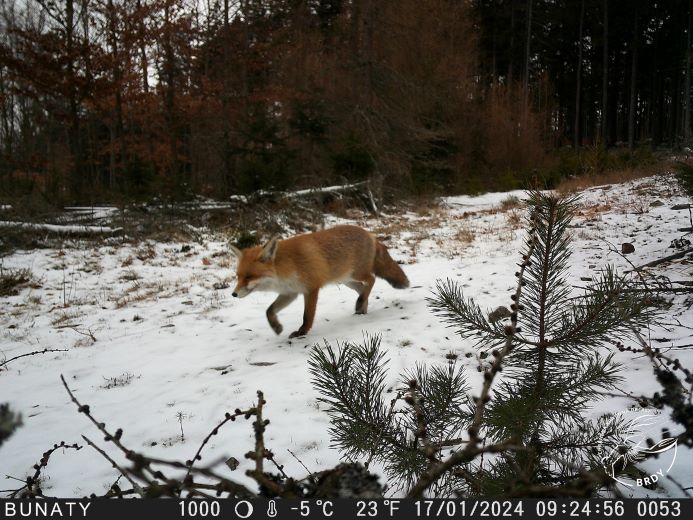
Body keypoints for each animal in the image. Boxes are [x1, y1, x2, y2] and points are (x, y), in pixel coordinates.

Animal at [230, 225, 408, 340]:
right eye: (238, 276)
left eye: (249, 276)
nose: (234, 294)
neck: (287, 266)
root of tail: (369, 234)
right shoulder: (290, 293)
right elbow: (269, 311)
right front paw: (276, 327)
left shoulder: (311, 288)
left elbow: (307, 316)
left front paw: (302, 332)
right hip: (347, 280)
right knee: (363, 289)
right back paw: (361, 309)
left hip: (356, 273)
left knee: (372, 279)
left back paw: (360, 304)